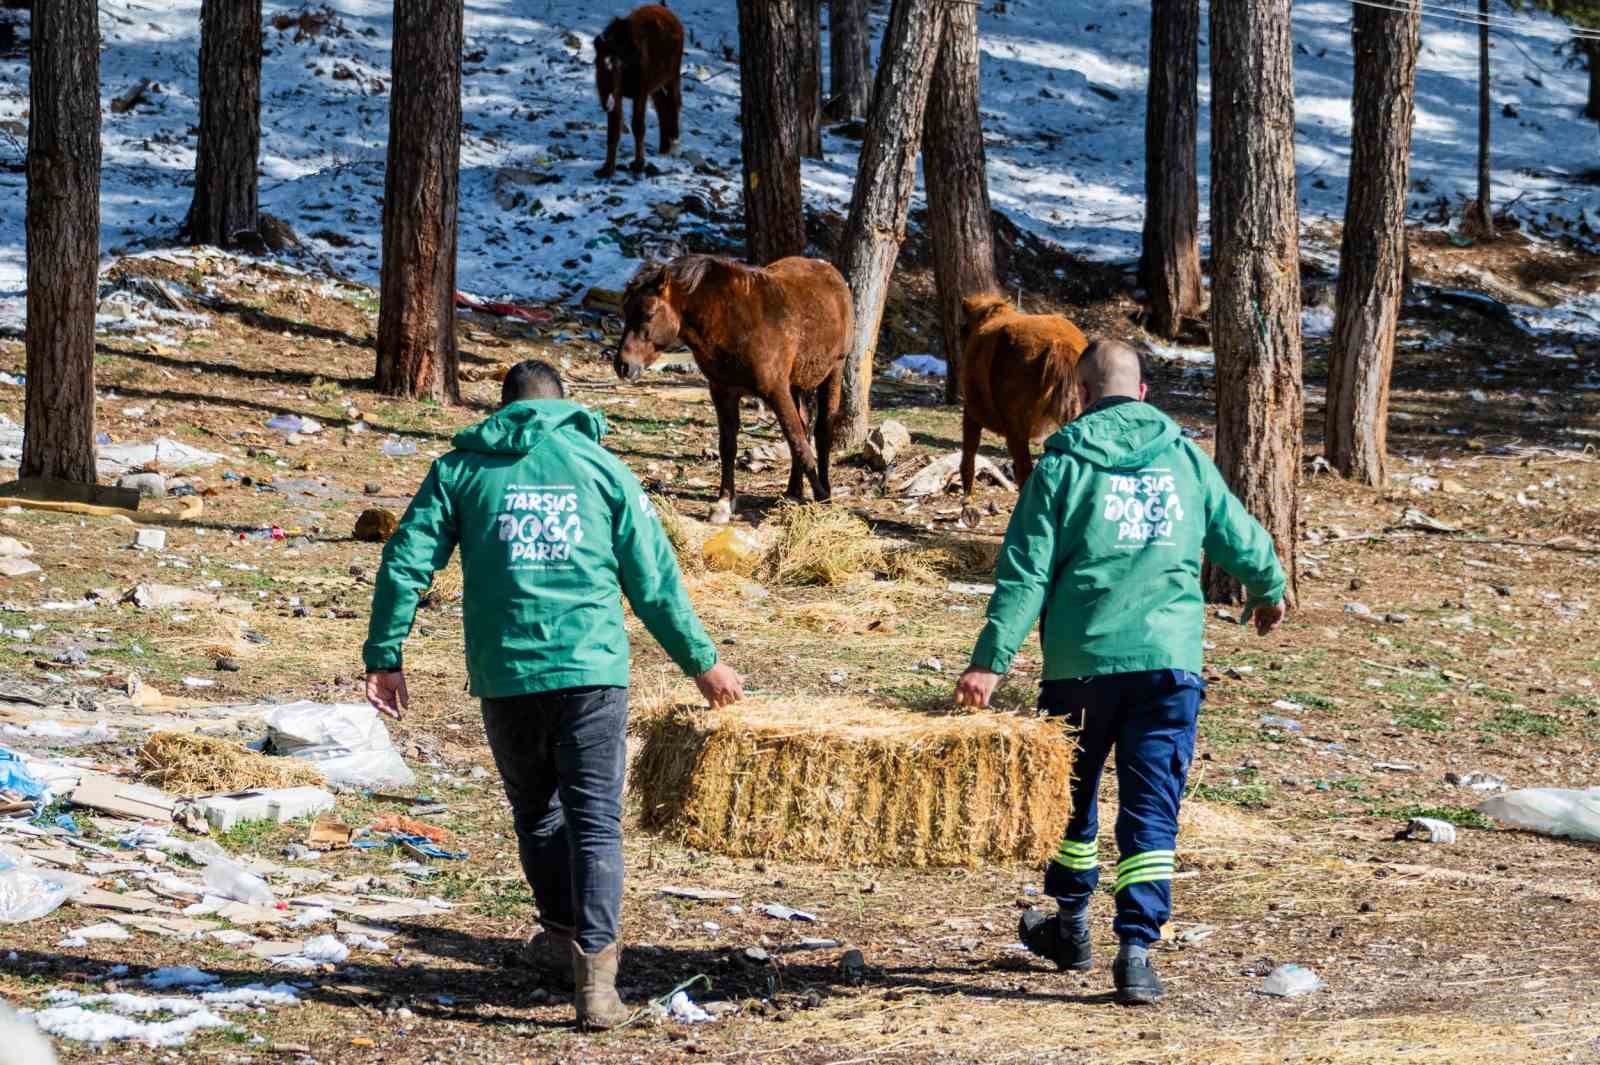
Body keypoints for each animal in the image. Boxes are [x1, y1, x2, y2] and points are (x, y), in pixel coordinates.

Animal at [595, 4, 681, 178]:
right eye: (595, 63)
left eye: (615, 64)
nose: (605, 101)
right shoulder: (619, 96)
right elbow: (613, 131)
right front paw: (608, 168)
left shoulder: (640, 93)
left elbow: (638, 127)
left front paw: (639, 163)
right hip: (657, 87)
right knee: (662, 107)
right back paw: (664, 146)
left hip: (672, 77)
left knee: (674, 104)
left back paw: (672, 143)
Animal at [611, 257, 857, 521]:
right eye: (626, 312)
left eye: (648, 314)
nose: (623, 366)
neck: (731, 323)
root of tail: (829, 270)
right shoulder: (723, 392)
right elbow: (728, 447)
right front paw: (724, 503)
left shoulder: (776, 391)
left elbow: (798, 442)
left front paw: (822, 499)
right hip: (795, 384)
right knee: (804, 425)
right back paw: (793, 492)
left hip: (833, 372)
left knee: (821, 432)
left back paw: (824, 489)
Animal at [953, 294, 1094, 498]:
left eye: (962, 330)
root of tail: (1059, 343)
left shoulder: (971, 413)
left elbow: (969, 455)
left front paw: (967, 497)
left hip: (1016, 431)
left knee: (1024, 471)